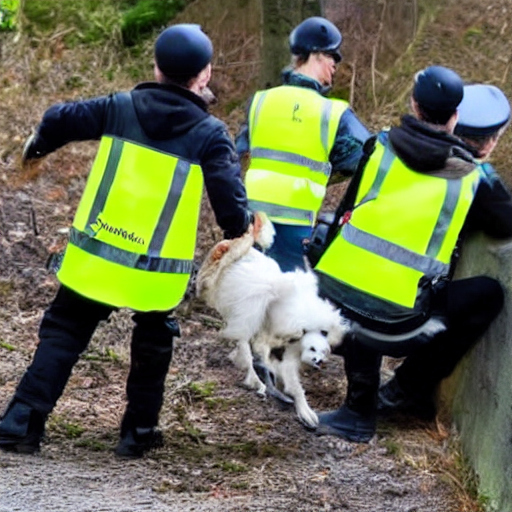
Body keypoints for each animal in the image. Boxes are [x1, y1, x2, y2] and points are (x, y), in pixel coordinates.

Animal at [196, 213, 348, 428]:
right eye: (312, 346)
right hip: (239, 308)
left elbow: (294, 384)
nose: (318, 360)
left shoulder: (287, 354)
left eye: (324, 335)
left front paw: (305, 410)